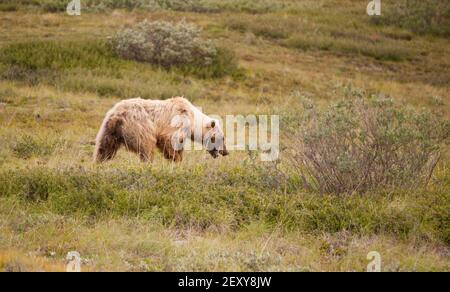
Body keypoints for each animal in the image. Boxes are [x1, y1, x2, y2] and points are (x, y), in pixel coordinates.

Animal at [94, 97, 229, 163]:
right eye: (222, 138)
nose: (225, 152)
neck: (192, 119)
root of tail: (117, 116)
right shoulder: (178, 120)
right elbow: (170, 139)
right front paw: (177, 159)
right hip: (139, 126)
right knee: (147, 145)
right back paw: (148, 162)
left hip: (108, 130)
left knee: (104, 148)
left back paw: (99, 162)